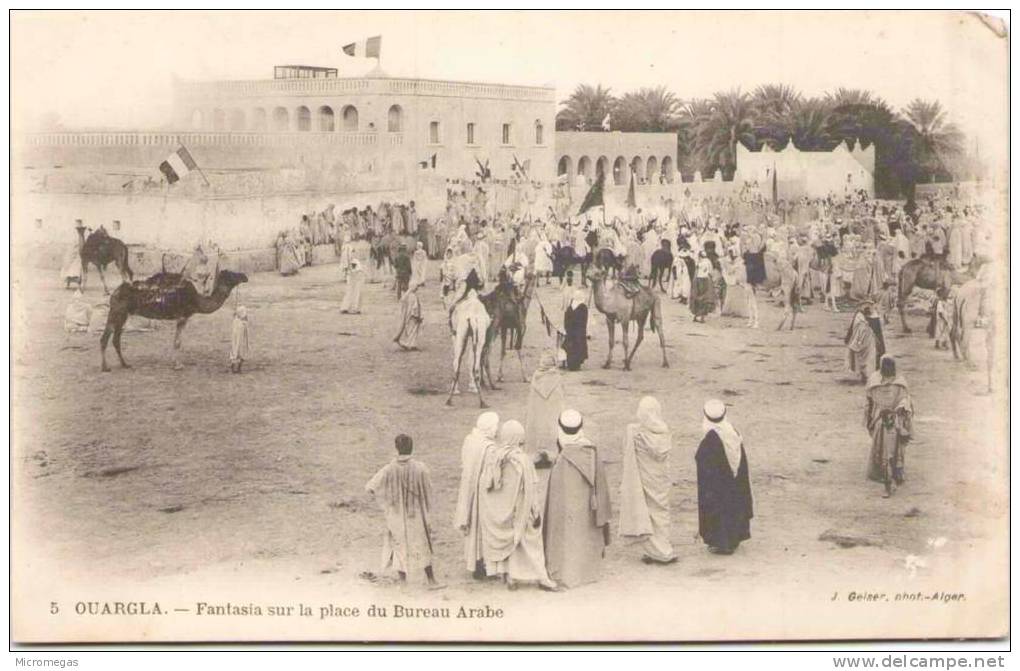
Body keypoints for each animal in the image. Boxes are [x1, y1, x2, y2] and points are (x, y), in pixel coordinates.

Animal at [98, 267, 248, 371]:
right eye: (232, 274)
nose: (245, 276)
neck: (196, 301)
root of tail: (114, 293)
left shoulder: (182, 318)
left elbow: (177, 342)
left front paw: (176, 364)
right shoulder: (182, 317)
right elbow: (177, 342)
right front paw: (178, 365)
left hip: (123, 314)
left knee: (115, 339)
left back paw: (125, 364)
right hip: (117, 312)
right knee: (105, 338)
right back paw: (105, 367)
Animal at [444, 267, 491, 407]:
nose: (446, 287)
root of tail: (472, 317)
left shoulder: (455, 334)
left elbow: (457, 360)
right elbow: (471, 360)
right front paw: (472, 387)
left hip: (460, 336)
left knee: (456, 365)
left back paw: (450, 398)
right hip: (480, 338)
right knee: (476, 367)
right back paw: (482, 401)